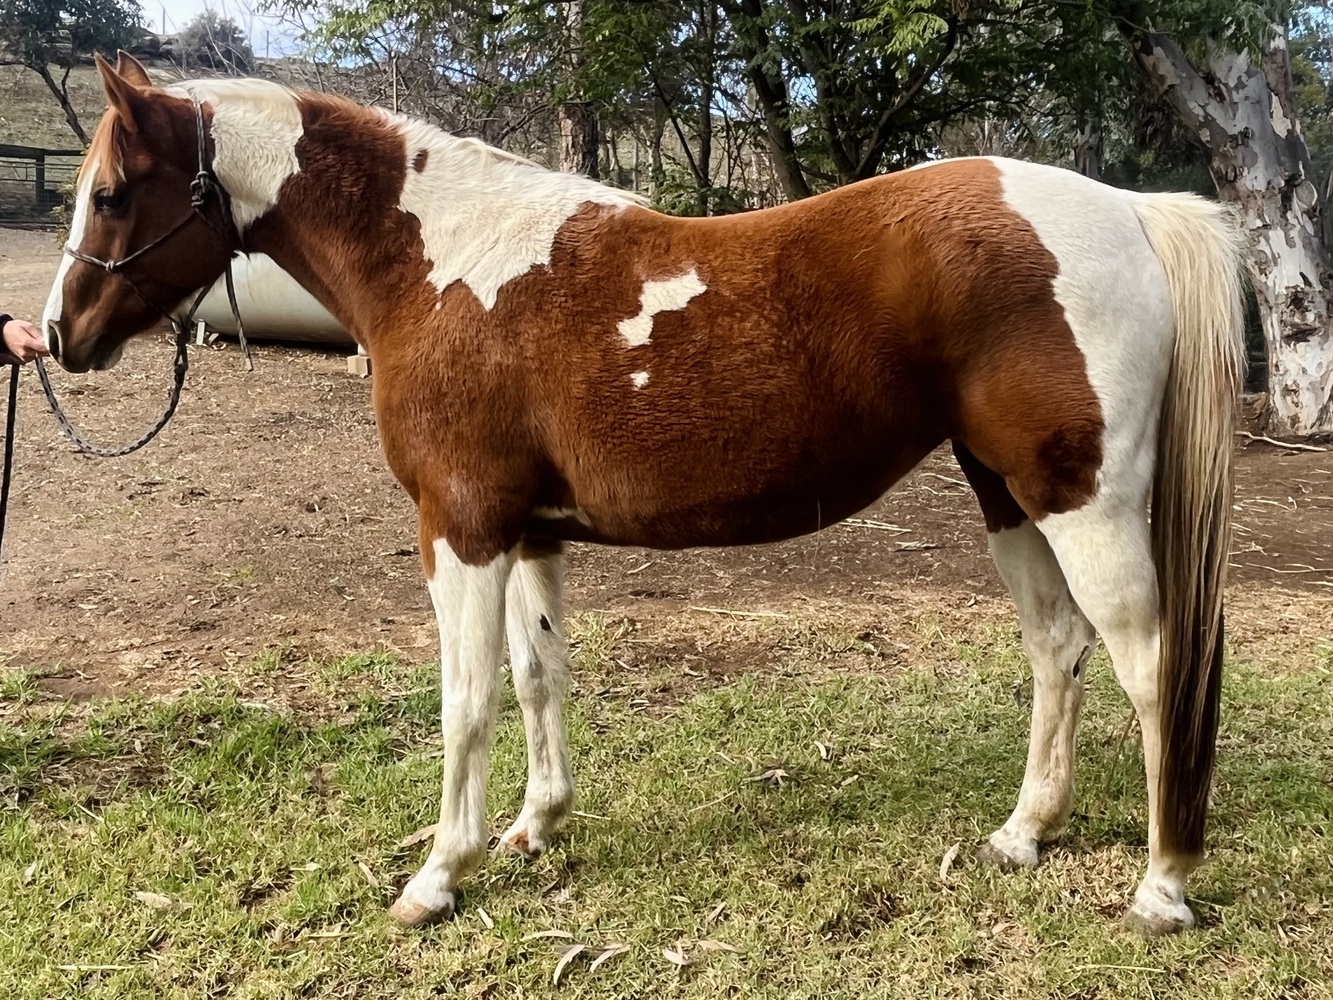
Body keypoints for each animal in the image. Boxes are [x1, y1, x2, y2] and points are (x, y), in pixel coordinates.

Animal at [43, 51, 1244, 936]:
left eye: (109, 193)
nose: (60, 336)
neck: (444, 264)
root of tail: (1129, 210)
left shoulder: (460, 530)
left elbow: (466, 701)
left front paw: (438, 875)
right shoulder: (528, 534)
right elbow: (539, 678)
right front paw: (535, 826)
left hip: (1082, 500)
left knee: (1148, 665)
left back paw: (1161, 886)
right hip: (1007, 492)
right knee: (1056, 649)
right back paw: (1022, 833)